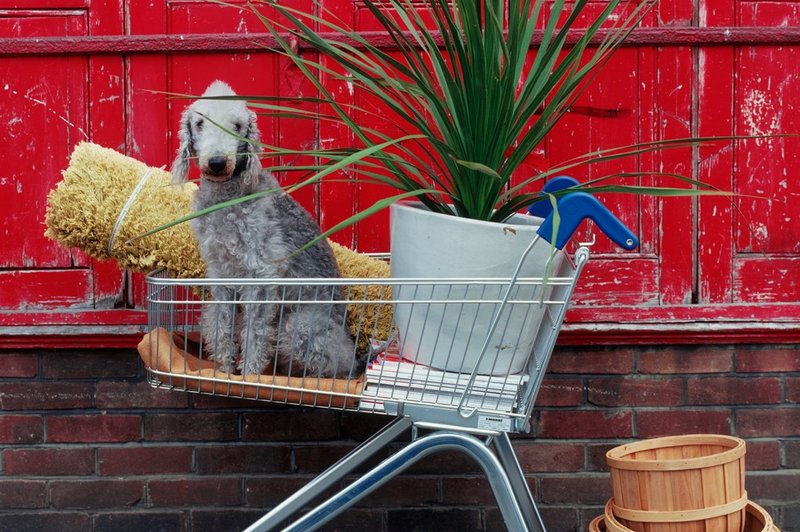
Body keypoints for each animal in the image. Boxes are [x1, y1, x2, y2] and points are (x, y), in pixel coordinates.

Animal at [173, 80, 360, 378]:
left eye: (237, 125)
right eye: (200, 123)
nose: (217, 162)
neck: (228, 198)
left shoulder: (261, 274)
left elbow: (256, 332)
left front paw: (249, 375)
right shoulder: (221, 272)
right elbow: (221, 324)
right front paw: (224, 370)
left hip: (301, 326)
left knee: (330, 366)